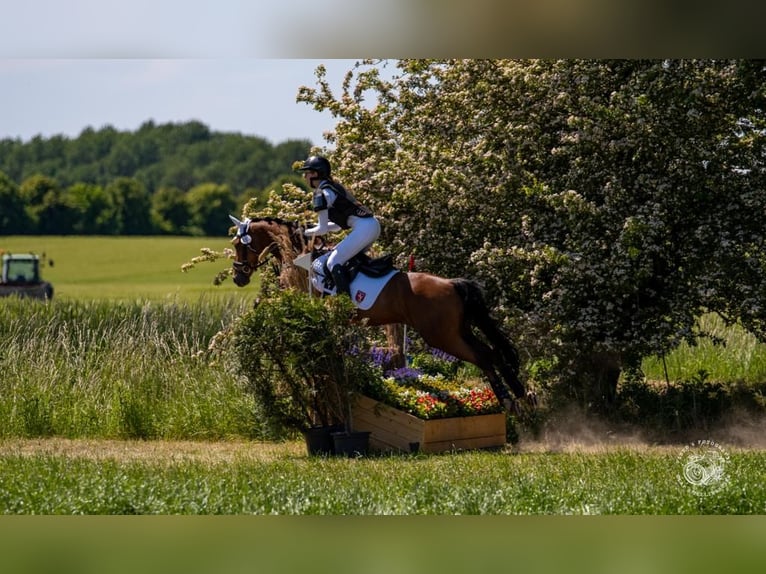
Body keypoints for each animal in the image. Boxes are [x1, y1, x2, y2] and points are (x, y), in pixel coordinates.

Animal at [226, 217, 536, 414]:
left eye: (239, 244)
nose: (239, 277)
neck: (302, 257)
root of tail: (452, 284)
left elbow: (271, 306)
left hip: (441, 336)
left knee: (484, 356)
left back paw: (510, 401)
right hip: (458, 331)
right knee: (492, 353)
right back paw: (520, 396)